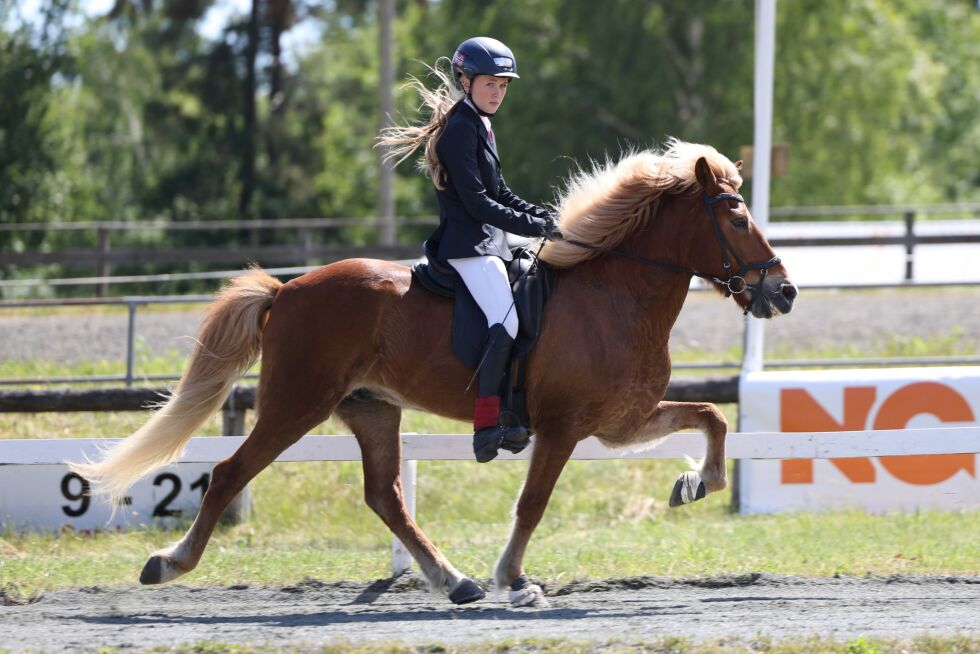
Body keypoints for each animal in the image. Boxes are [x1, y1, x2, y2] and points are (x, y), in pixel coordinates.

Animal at [74, 138, 796, 608]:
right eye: (736, 217)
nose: (783, 292)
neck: (616, 295)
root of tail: (287, 289)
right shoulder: (563, 428)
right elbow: (533, 504)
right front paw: (514, 579)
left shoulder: (620, 422)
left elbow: (711, 417)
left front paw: (695, 484)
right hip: (294, 404)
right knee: (229, 473)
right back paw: (169, 563)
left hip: (371, 407)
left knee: (385, 496)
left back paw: (455, 581)